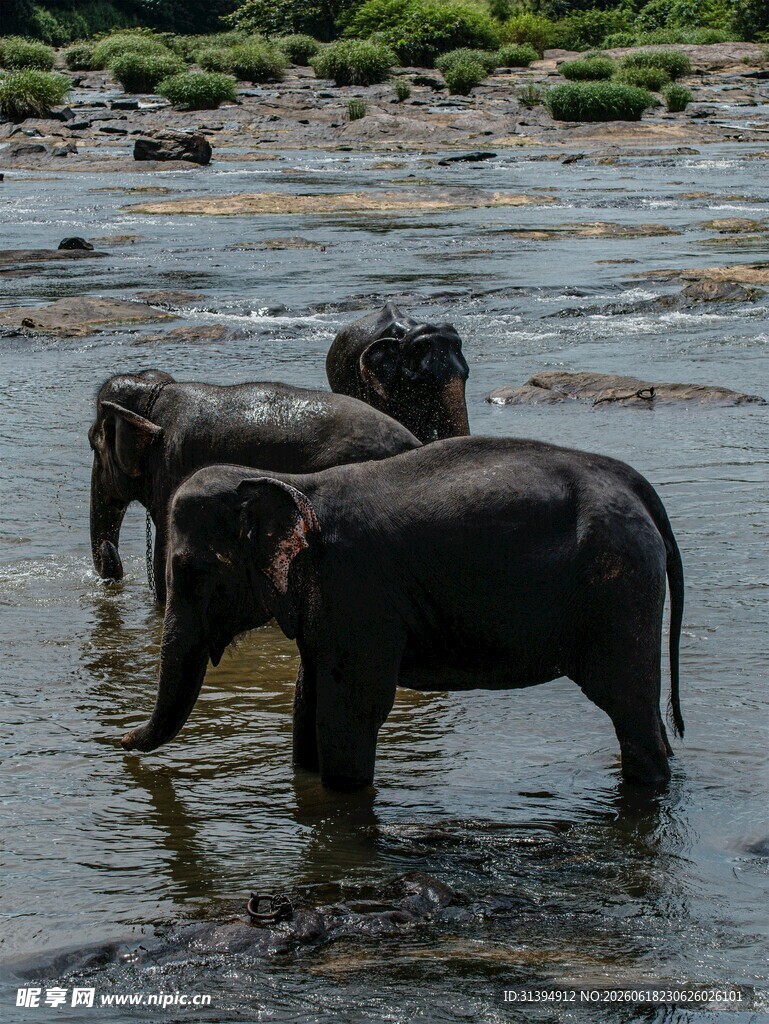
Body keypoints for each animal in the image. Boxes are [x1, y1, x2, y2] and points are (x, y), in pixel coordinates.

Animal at [120, 436, 685, 791]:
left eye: (189, 569)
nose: (120, 740)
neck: (287, 479)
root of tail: (637, 487)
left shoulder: (357, 593)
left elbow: (352, 711)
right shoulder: (329, 608)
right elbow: (307, 702)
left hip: (618, 589)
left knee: (628, 706)